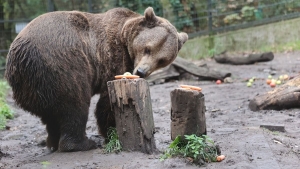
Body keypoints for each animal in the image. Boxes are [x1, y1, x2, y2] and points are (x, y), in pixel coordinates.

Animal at [4, 6, 188, 152]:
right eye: (148, 48)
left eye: (162, 60)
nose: (142, 72)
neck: (125, 37)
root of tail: (19, 55)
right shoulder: (112, 56)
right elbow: (106, 102)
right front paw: (112, 132)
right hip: (62, 63)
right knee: (74, 104)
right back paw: (82, 143)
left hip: (34, 85)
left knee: (52, 114)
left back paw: (52, 142)